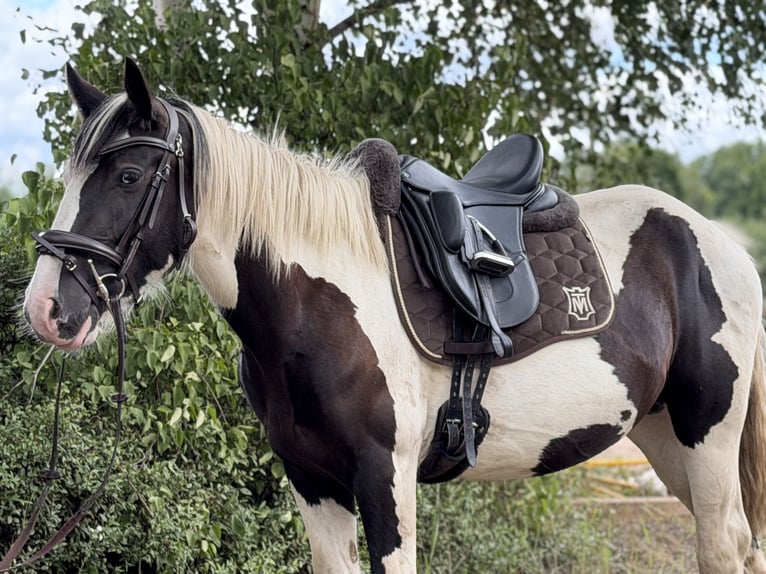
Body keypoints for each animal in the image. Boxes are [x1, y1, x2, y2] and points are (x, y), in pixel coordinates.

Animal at [21, 58, 766, 573]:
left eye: (127, 177)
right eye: (67, 177)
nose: (47, 308)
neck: (316, 304)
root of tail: (720, 241)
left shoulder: (385, 478)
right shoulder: (312, 482)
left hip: (708, 434)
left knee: (724, 546)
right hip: (665, 437)